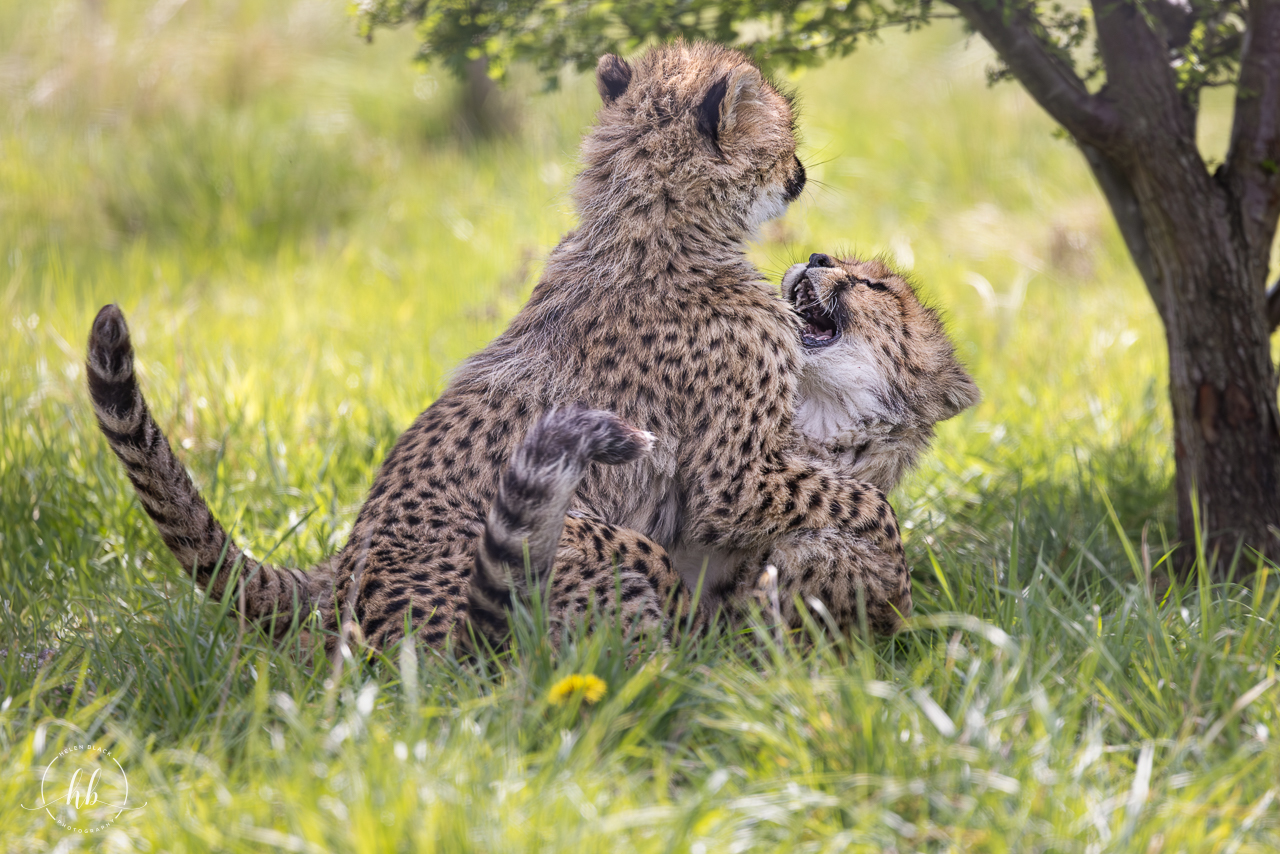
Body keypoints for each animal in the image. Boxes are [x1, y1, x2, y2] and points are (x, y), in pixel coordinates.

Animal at [87, 41, 908, 654]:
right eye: (784, 140)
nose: (800, 172)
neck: (645, 223)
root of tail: (340, 585)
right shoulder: (731, 478)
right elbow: (864, 500)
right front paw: (892, 575)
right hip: (579, 554)